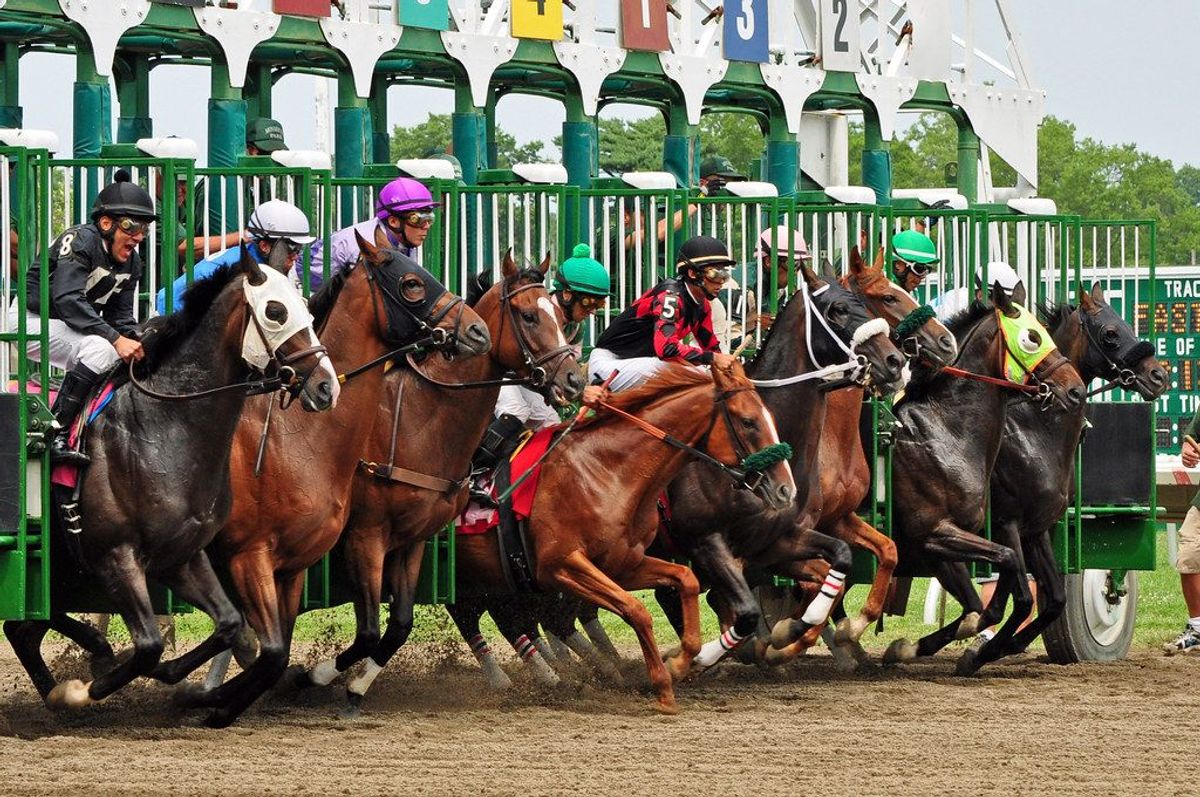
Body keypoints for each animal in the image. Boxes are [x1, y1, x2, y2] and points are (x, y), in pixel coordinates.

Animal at [5, 250, 343, 710]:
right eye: (275, 312)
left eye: (307, 310)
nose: (327, 387)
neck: (164, 426)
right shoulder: (116, 555)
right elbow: (149, 644)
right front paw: (81, 690)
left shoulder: (181, 554)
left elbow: (228, 624)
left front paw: (176, 680)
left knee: (21, 629)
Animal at [175, 230, 492, 729]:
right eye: (411, 284)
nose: (478, 331)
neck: (302, 438)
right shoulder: (305, 546)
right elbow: (312, 643)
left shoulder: (305, 562)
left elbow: (284, 648)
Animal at [295, 250, 585, 715]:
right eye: (528, 316)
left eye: (560, 316)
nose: (574, 379)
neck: (417, 421)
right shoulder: (366, 536)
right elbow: (370, 629)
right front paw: (315, 675)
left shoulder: (413, 540)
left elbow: (398, 625)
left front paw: (354, 686)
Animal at [950, 284, 1166, 672]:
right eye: (1111, 333)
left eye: (1130, 323)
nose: (1159, 376)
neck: (1032, 427)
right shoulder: (1006, 521)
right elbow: (1019, 595)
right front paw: (981, 649)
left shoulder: (1038, 527)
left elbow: (1053, 597)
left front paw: (1003, 645)